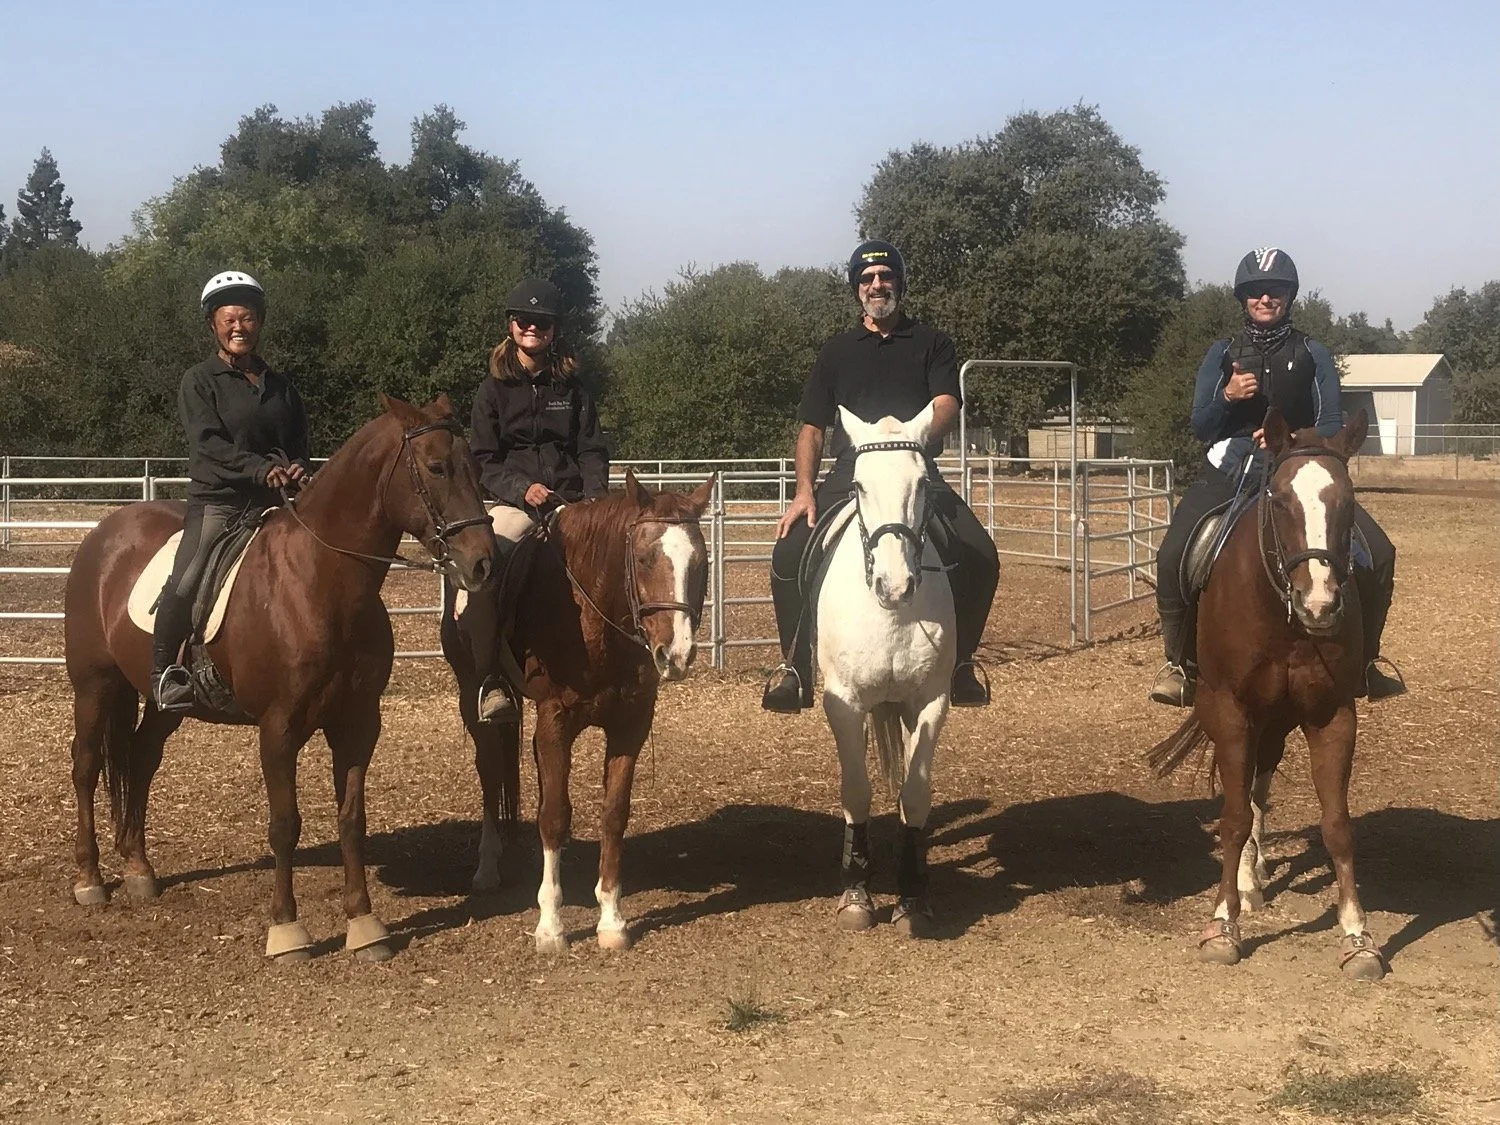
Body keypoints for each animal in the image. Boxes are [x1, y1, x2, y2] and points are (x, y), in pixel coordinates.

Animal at [64, 394, 496, 963]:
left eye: (475, 468)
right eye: (437, 467)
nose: (483, 563)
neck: (322, 580)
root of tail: (103, 535)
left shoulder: (359, 725)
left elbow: (352, 821)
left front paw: (365, 925)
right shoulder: (278, 728)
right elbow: (285, 824)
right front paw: (287, 931)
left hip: (163, 703)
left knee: (141, 756)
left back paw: (138, 869)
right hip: (94, 686)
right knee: (87, 766)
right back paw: (89, 879)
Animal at [441, 470, 713, 952]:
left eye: (700, 563)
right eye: (643, 558)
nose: (676, 655)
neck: (590, 618)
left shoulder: (629, 726)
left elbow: (613, 814)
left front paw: (612, 920)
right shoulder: (555, 721)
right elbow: (554, 816)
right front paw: (550, 926)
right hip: (471, 696)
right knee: (490, 772)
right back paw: (487, 867)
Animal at [817, 404, 956, 937]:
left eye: (923, 483)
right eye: (858, 486)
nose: (894, 585)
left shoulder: (931, 702)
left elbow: (913, 794)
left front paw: (912, 895)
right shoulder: (845, 703)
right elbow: (856, 791)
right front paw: (856, 891)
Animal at [1147, 407, 1386, 979]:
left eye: (1348, 502)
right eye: (1278, 500)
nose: (1319, 603)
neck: (1286, 622)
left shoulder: (1333, 716)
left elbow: (1337, 825)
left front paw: (1357, 936)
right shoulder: (1231, 711)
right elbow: (1231, 820)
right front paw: (1222, 925)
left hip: (1276, 720)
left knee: (1260, 783)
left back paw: (1254, 876)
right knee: (1244, 796)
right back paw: (1245, 884)